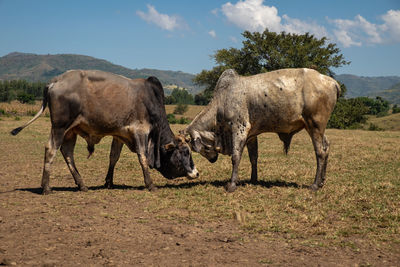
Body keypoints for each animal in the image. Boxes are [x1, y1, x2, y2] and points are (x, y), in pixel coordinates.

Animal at [11, 70, 199, 194]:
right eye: (185, 152)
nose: (196, 173)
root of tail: (55, 81)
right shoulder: (140, 131)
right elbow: (143, 157)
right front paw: (150, 184)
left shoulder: (120, 134)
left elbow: (113, 157)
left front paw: (109, 182)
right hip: (59, 127)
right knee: (51, 149)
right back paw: (46, 187)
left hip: (70, 132)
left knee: (68, 153)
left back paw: (82, 185)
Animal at [183, 67, 340, 193]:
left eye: (195, 149)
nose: (213, 160)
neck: (222, 101)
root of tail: (331, 81)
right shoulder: (251, 135)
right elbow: (253, 157)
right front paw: (253, 179)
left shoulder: (239, 128)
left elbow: (235, 157)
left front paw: (232, 184)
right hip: (318, 129)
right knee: (326, 147)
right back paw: (321, 181)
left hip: (314, 126)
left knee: (320, 152)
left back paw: (315, 185)